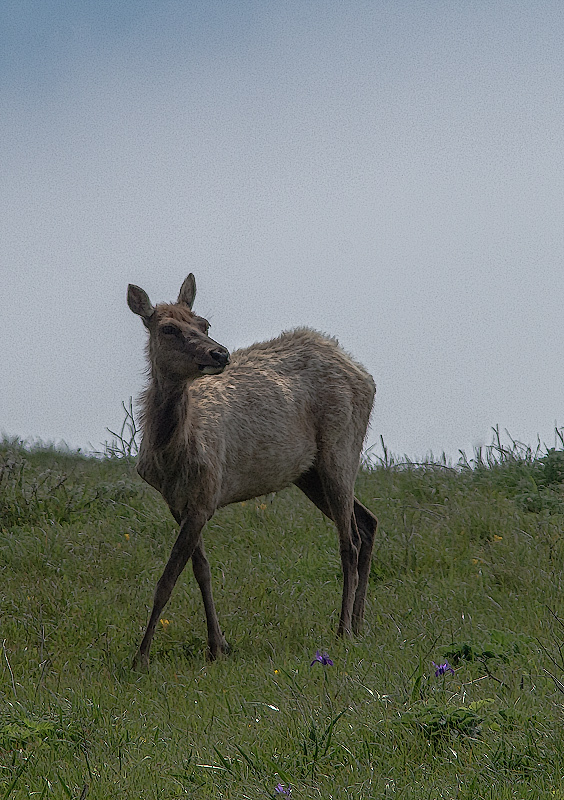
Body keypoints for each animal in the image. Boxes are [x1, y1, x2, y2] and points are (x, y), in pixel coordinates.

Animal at [127, 274, 377, 670]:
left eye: (204, 323)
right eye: (168, 328)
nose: (219, 353)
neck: (170, 450)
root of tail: (365, 374)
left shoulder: (206, 495)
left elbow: (167, 579)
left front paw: (141, 657)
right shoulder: (178, 502)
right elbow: (201, 571)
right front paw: (217, 646)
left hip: (341, 448)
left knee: (349, 539)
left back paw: (343, 631)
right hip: (309, 472)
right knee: (368, 523)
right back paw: (359, 622)